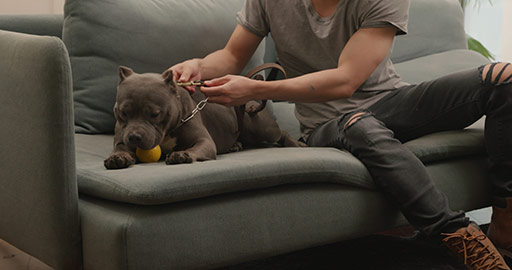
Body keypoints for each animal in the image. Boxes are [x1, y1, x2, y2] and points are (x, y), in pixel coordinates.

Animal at [102, 65, 306, 170]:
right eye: (123, 113)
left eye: (154, 114)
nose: (134, 137)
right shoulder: (121, 138)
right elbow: (120, 147)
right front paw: (118, 157)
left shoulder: (204, 141)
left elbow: (197, 147)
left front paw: (182, 155)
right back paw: (235, 145)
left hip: (260, 127)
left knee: (281, 132)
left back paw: (295, 143)